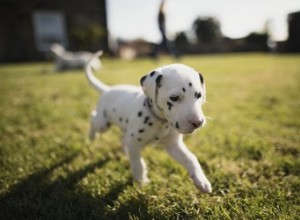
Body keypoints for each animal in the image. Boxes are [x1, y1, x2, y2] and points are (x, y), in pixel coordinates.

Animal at [84, 51, 212, 192]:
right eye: (174, 98)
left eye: (199, 95)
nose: (198, 122)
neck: (161, 121)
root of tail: (107, 90)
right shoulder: (134, 142)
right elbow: (137, 163)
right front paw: (142, 181)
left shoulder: (173, 145)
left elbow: (191, 158)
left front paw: (201, 180)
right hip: (103, 123)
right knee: (93, 118)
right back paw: (91, 136)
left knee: (122, 139)